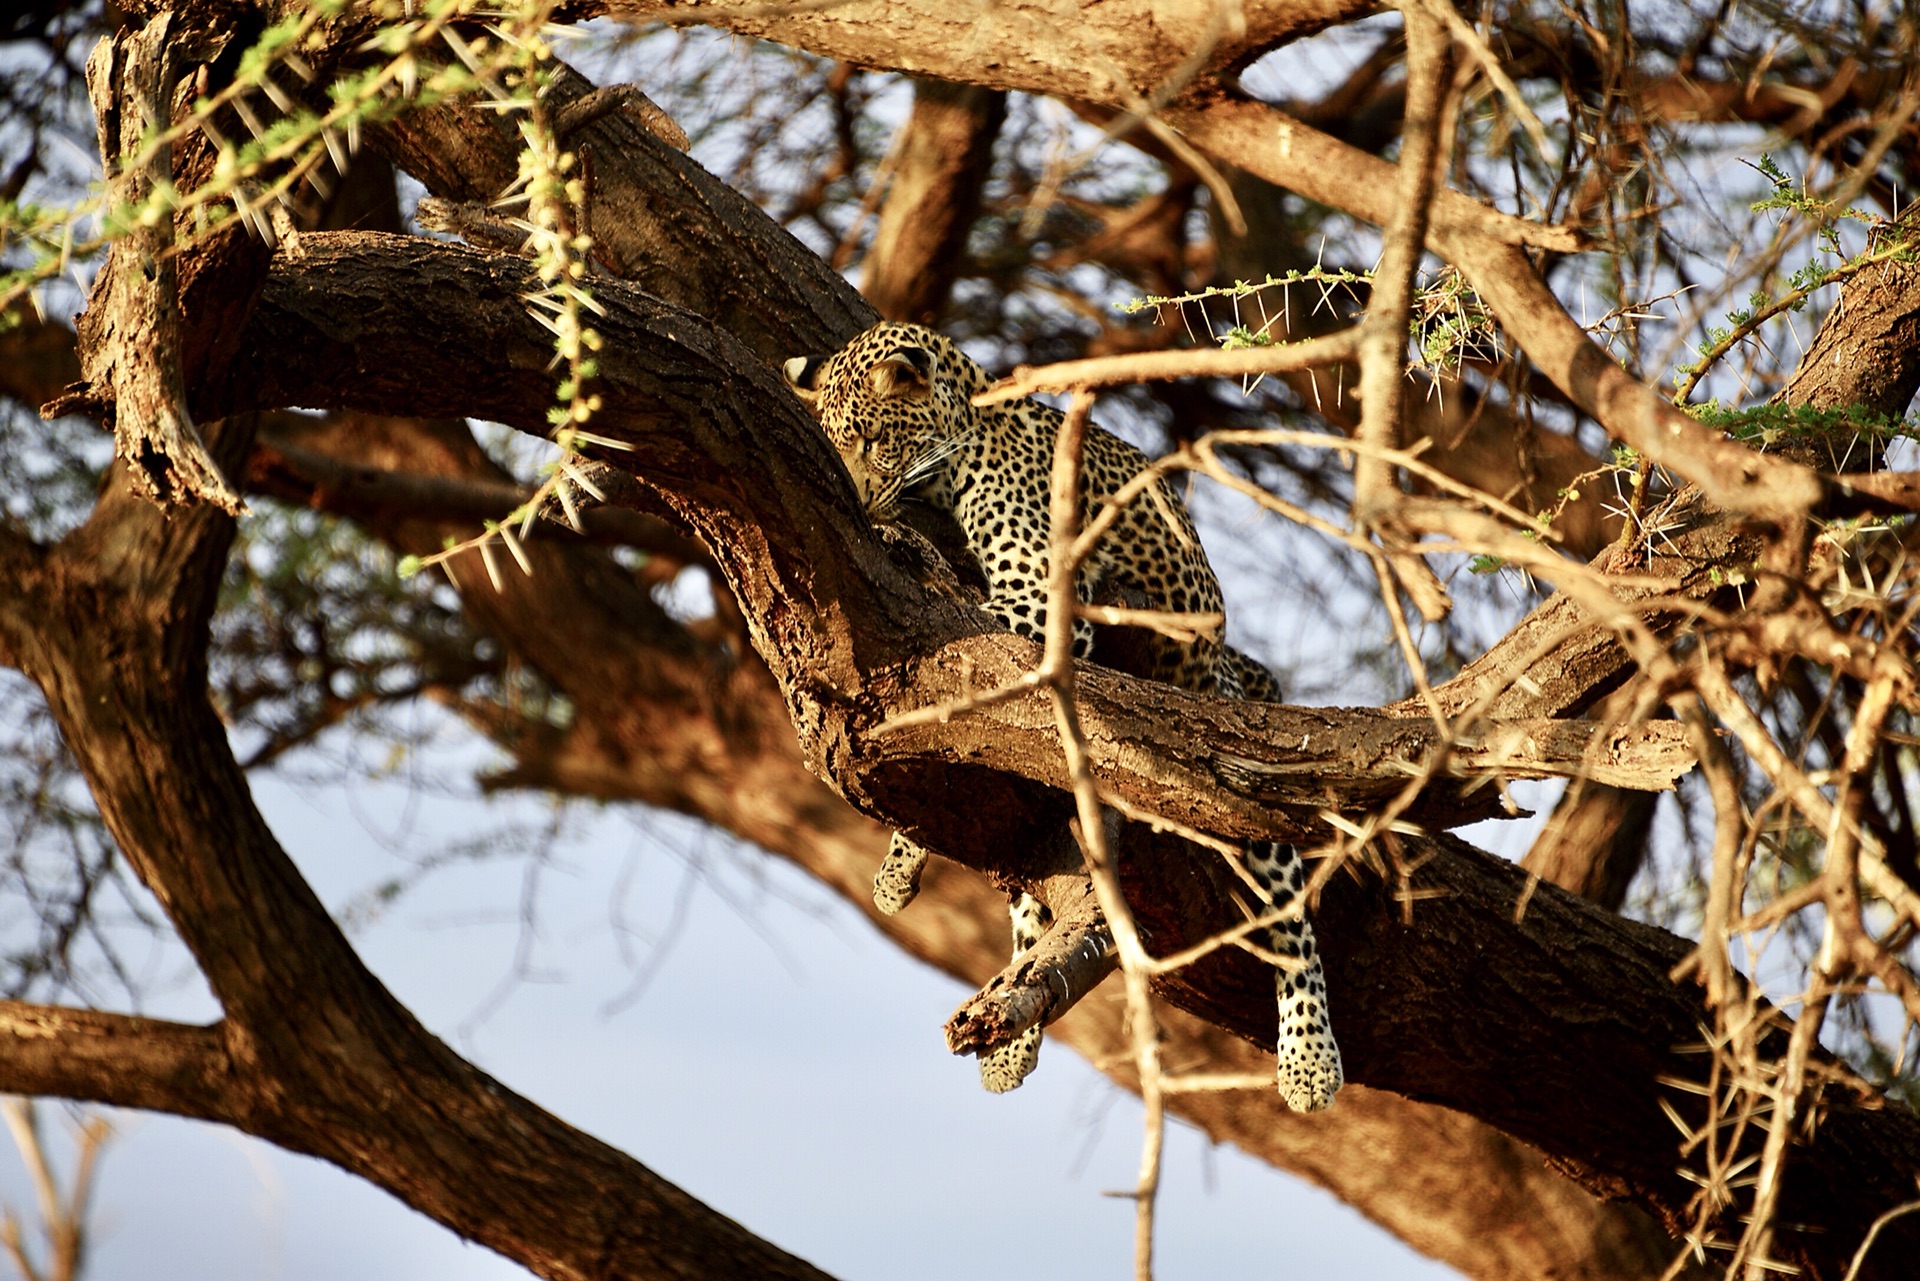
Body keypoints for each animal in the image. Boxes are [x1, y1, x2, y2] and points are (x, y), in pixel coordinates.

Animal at [787, 320, 1344, 1113]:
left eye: (870, 438)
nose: (858, 507)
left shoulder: (1037, 602)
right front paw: (899, 862)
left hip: (1247, 802)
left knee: (1292, 928)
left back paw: (1309, 1063)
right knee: (1027, 900)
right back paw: (1007, 1032)